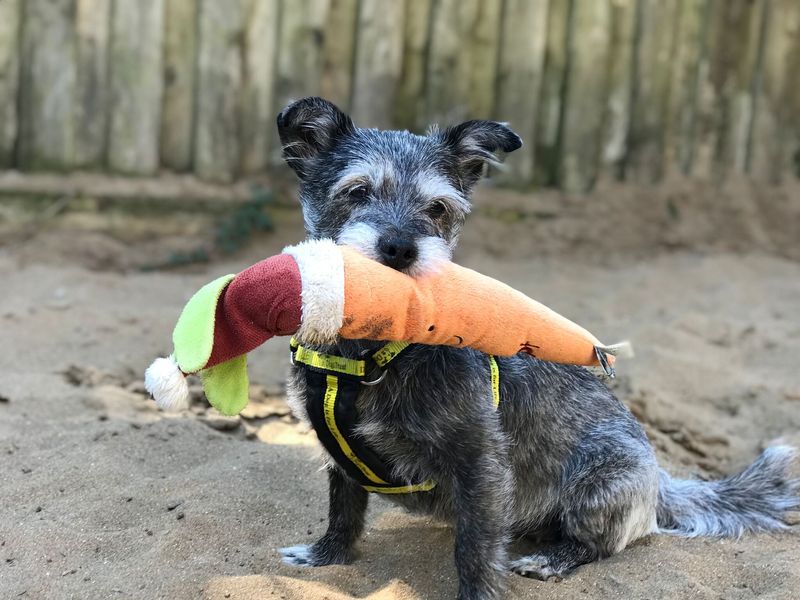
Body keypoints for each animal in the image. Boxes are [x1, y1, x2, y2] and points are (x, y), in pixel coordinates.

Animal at [276, 98, 800, 600]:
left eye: (438, 208)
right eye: (357, 192)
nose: (401, 249)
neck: (372, 353)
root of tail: (661, 480)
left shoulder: (482, 464)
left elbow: (475, 547)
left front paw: (478, 594)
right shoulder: (340, 461)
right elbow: (344, 509)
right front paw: (326, 556)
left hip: (598, 487)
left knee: (600, 544)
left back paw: (554, 558)